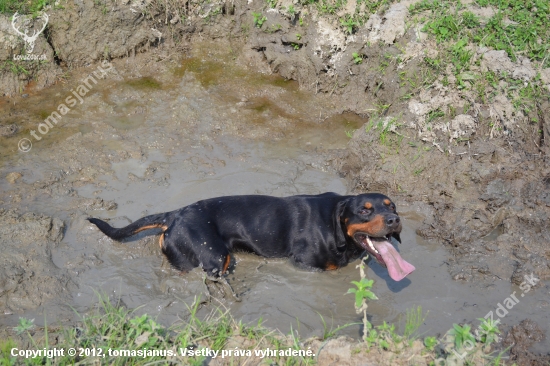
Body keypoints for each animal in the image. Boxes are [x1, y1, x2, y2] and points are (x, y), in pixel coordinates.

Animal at [88, 193, 416, 282]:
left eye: (392, 206)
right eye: (365, 210)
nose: (394, 220)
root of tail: (174, 214)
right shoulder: (305, 264)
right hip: (215, 257)